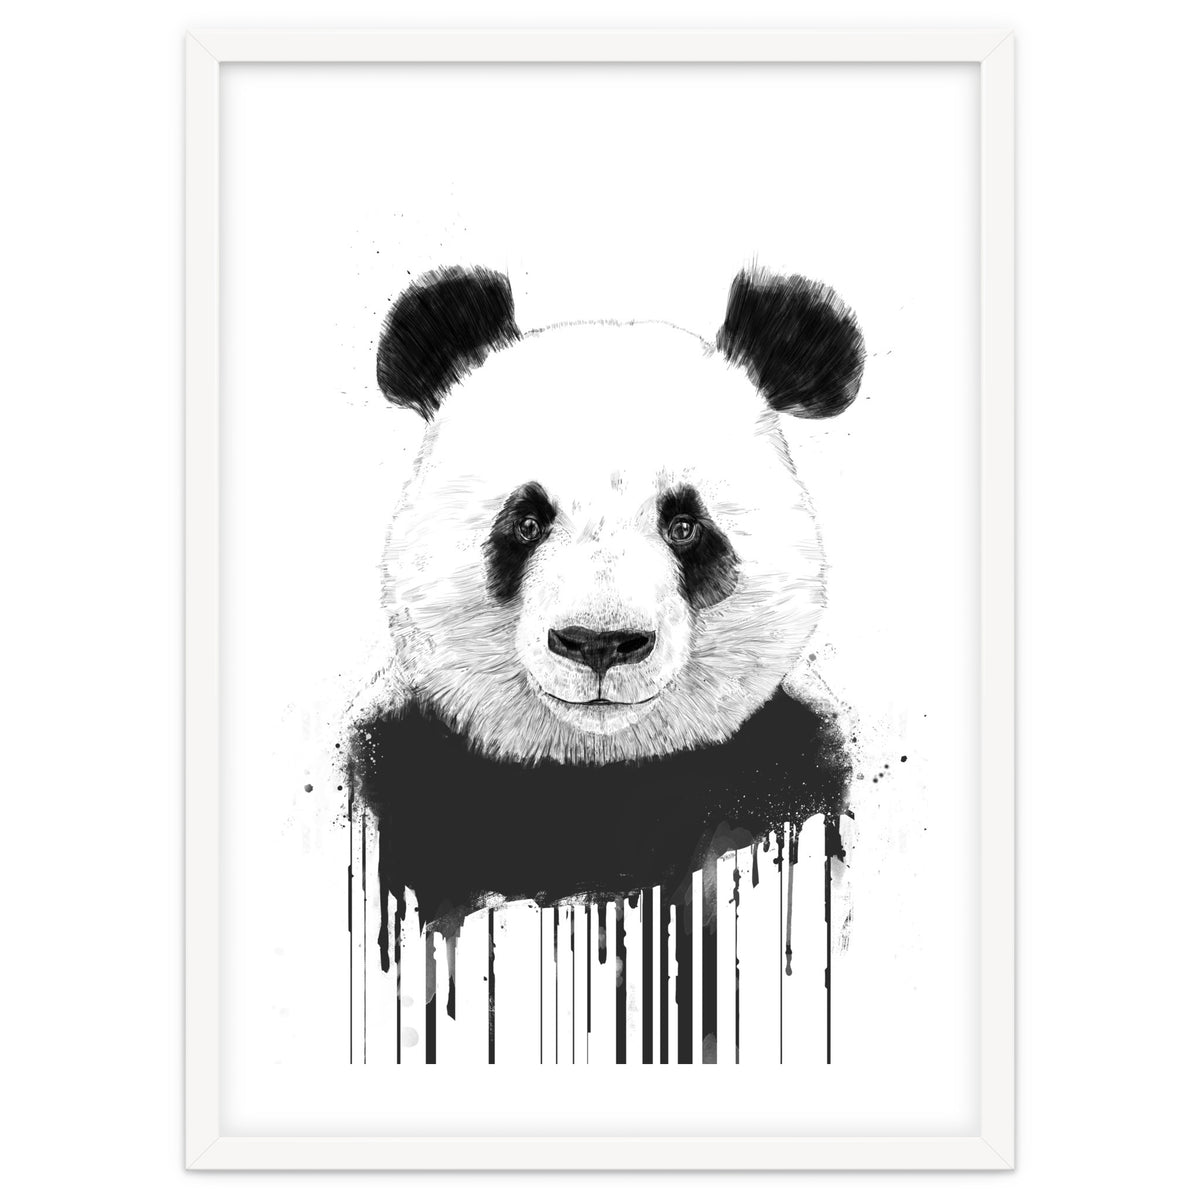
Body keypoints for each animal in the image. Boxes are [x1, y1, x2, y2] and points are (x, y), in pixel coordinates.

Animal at [347, 265, 865, 948]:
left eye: (685, 526)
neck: (599, 772)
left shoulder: (787, 764)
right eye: (527, 522)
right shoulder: (406, 765)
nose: (599, 643)